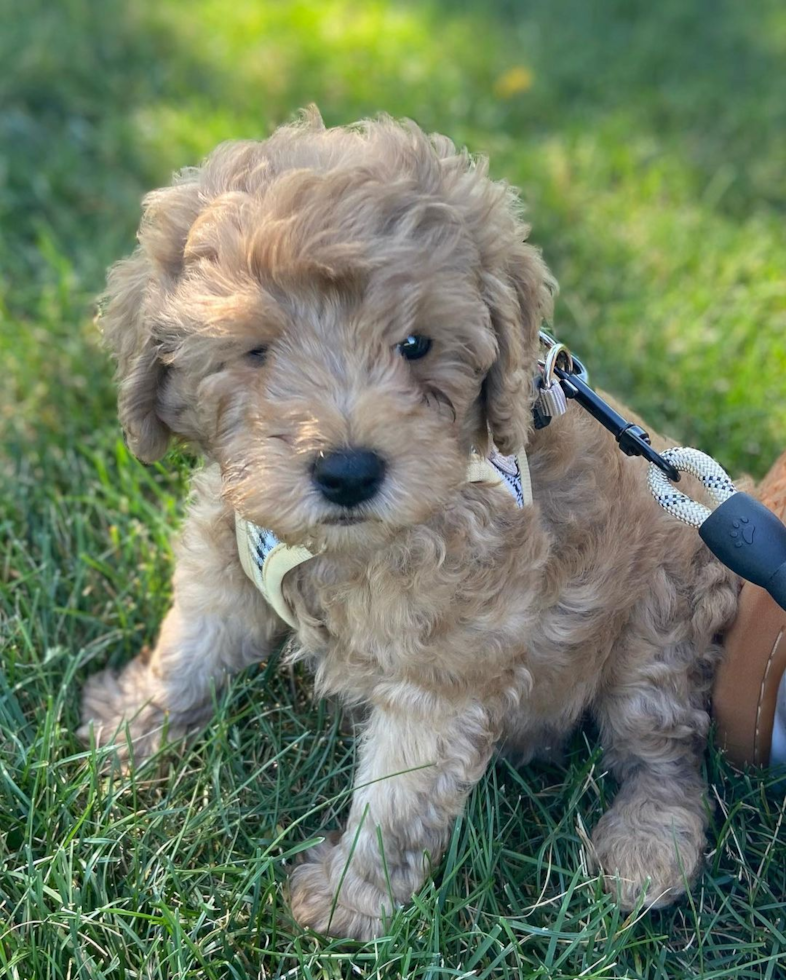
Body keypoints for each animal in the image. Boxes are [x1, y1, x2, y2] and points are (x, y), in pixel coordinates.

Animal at [82, 109, 740, 940]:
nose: (349, 472)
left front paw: (345, 902)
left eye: (417, 344)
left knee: (665, 748)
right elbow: (189, 648)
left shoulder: (445, 669)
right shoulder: (227, 559)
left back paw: (646, 847)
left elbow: (397, 798)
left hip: (657, 635)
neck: (344, 547)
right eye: (255, 351)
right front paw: (132, 726)